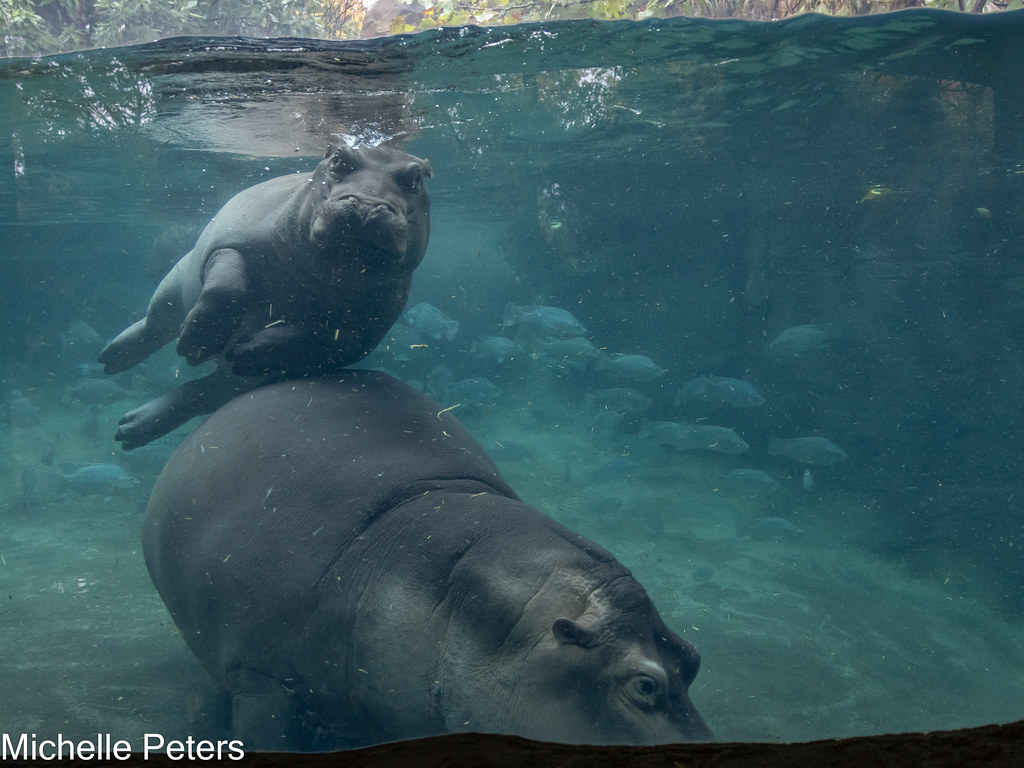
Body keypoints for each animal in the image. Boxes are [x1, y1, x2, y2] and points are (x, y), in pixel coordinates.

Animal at [98, 144, 432, 450]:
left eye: (417, 176)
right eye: (338, 157)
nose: (367, 204)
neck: (322, 277)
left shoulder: (366, 330)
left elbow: (318, 340)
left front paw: (248, 352)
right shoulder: (234, 244)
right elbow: (225, 289)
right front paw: (198, 345)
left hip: (236, 384)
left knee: (201, 392)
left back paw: (131, 427)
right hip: (174, 280)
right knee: (153, 326)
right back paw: (111, 361)